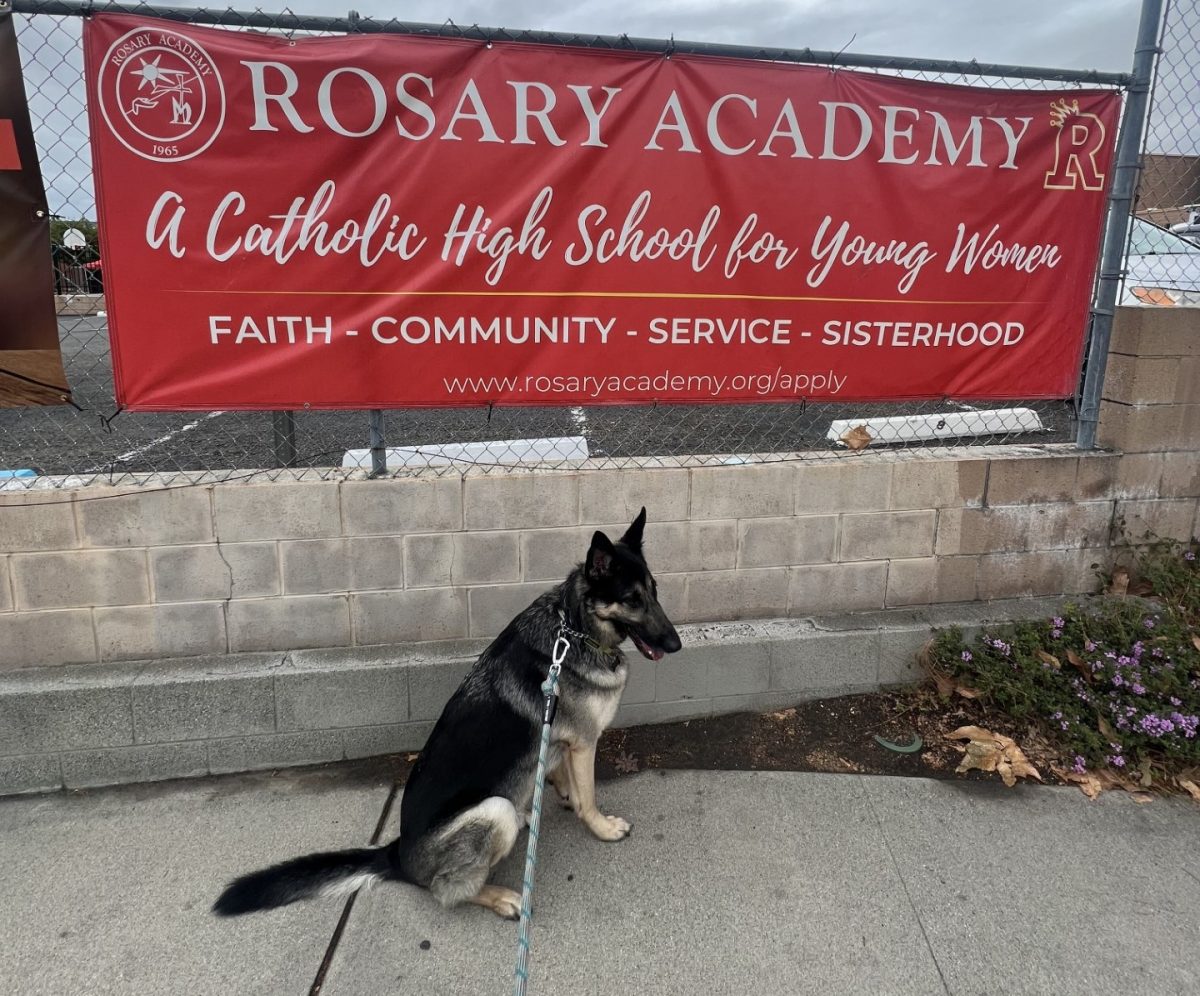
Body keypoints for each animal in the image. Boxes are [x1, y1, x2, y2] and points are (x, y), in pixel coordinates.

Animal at [213, 511, 676, 926]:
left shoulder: (562, 742)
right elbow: (589, 798)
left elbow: (560, 776)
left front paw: (559, 793)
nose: (675, 644)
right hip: (492, 811)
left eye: (655, 591)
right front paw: (602, 826)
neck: (575, 630)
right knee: (447, 890)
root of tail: (397, 854)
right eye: (632, 599)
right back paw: (503, 897)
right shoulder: (584, 743)